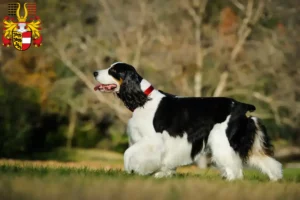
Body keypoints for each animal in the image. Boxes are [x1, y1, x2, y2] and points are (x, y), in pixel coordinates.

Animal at [92, 61, 282, 180]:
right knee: (264, 160)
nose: (94, 72)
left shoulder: (152, 140)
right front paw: (161, 174)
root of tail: (242, 106)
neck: (143, 99)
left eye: (113, 71)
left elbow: (128, 153)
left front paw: (136, 171)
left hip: (222, 140)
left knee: (235, 169)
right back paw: (275, 178)